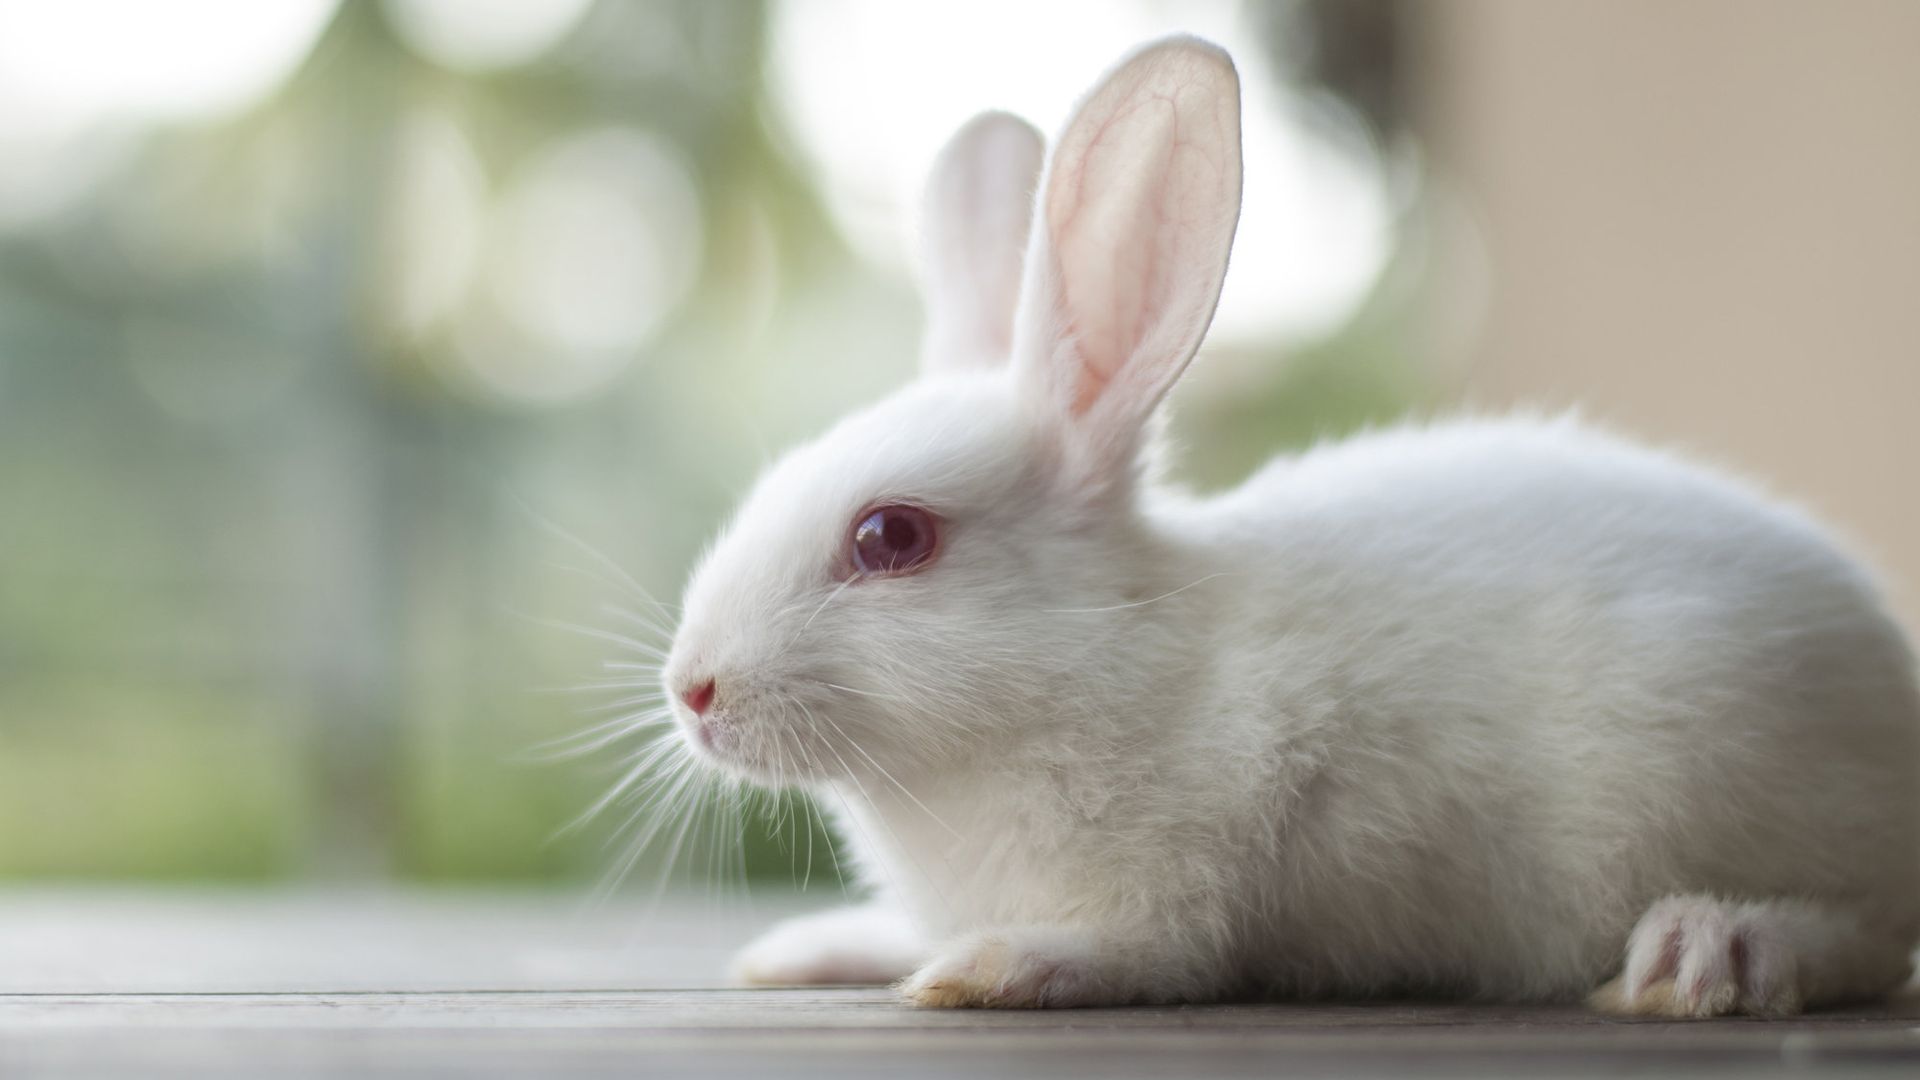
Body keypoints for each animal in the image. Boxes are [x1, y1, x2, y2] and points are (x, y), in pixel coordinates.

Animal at [659, 35, 1920, 1013]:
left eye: (892, 538)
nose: (693, 691)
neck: (1089, 661)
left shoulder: (1186, 880)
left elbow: (1143, 953)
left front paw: (991, 967)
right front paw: (816, 948)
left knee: (1866, 934)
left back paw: (1707, 951)